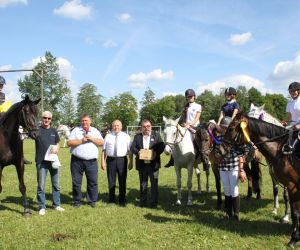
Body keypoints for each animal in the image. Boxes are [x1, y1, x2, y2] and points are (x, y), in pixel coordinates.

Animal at [218, 113, 300, 248]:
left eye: (231, 129)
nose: (220, 150)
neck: (285, 151)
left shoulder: (292, 186)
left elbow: (295, 213)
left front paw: (294, 238)